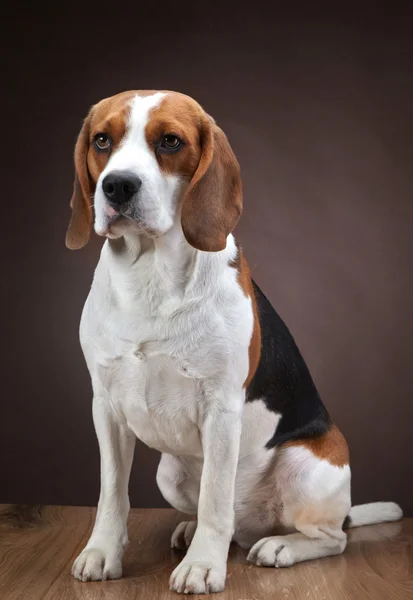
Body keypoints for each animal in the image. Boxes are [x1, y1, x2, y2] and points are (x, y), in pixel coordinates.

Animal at [67, 90, 402, 596]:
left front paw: (204, 566)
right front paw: (103, 552)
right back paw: (193, 531)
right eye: (102, 140)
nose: (117, 186)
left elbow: (214, 500)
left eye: (170, 141)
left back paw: (280, 546)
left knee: (329, 538)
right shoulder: (104, 406)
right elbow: (112, 494)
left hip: (308, 466)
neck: (151, 277)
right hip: (169, 471)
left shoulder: (221, 409)